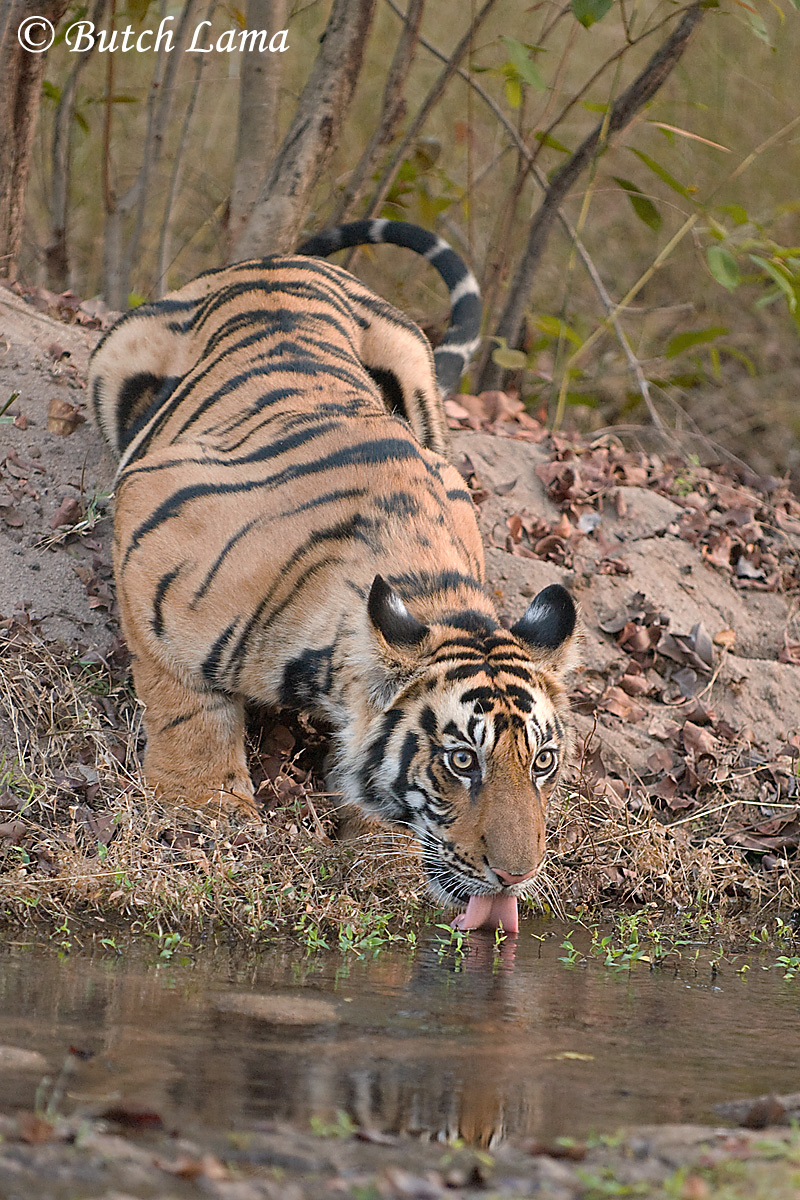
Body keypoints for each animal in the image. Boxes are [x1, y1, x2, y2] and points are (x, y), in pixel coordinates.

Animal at [89, 219, 578, 933]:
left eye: (542, 761)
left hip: (417, 374)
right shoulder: (153, 519)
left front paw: (380, 853)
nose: (517, 876)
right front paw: (206, 808)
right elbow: (185, 701)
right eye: (463, 760)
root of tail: (282, 258)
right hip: (118, 357)